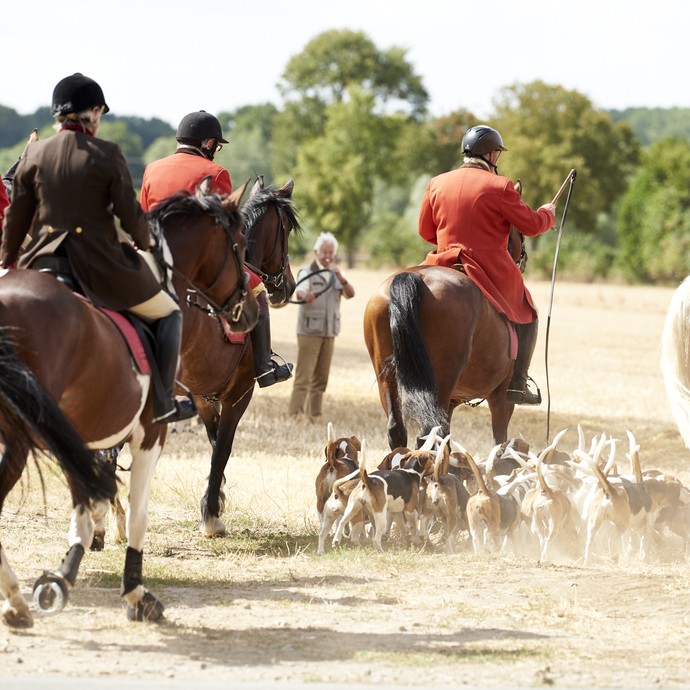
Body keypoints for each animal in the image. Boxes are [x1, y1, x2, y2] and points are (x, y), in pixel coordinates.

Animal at [0, 181, 255, 624]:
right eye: (239, 245)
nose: (252, 310)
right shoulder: (153, 431)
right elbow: (138, 512)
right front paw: (136, 592)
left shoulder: (80, 434)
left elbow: (86, 503)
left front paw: (66, 571)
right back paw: (15, 597)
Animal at [362, 226, 524, 452]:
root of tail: (413, 277)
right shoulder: (501, 398)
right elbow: (499, 440)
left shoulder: (452, 401)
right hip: (443, 378)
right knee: (427, 434)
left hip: (387, 376)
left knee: (397, 429)